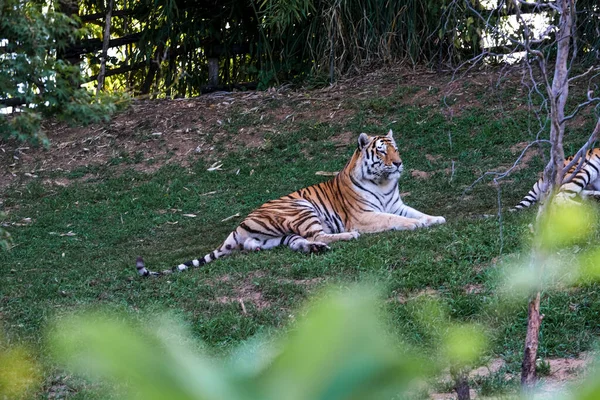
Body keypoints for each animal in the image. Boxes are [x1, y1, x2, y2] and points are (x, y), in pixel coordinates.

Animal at [136, 130, 446, 276]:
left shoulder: (395, 204)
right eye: (381, 151)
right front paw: (414, 225)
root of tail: (237, 228)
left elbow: (417, 212)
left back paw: (314, 249)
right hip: (301, 209)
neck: (383, 183)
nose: (399, 163)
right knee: (322, 234)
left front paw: (435, 219)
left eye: (396, 149)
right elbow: (397, 220)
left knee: (298, 242)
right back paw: (344, 237)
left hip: (280, 237)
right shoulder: (365, 216)